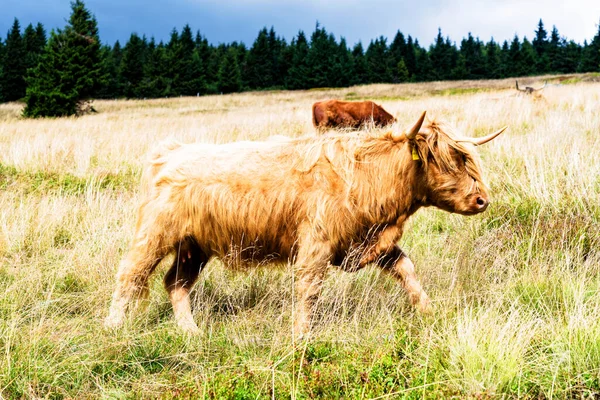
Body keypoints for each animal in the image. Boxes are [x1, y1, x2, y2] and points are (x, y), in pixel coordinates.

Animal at [104, 113, 506, 338]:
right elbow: (308, 290)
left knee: (176, 283)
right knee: (130, 274)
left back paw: (191, 332)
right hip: (156, 234)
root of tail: (170, 152)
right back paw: (112, 327)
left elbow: (407, 269)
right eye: (448, 160)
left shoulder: (369, 241)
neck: (370, 177)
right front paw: (301, 337)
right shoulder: (316, 244)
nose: (482, 200)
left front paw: (428, 311)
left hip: (194, 246)